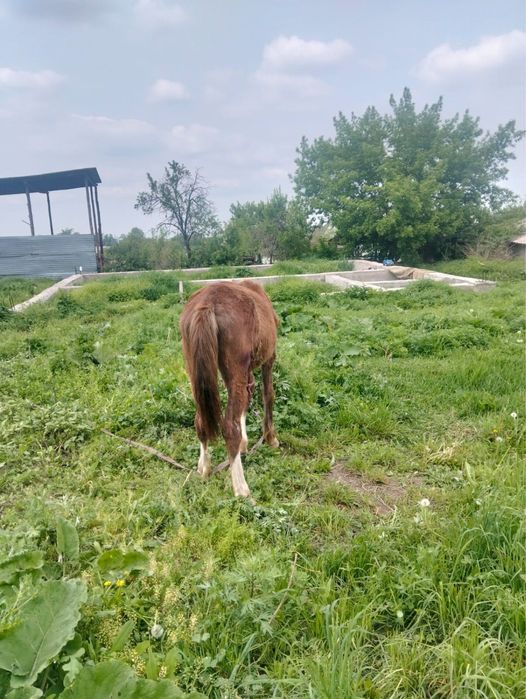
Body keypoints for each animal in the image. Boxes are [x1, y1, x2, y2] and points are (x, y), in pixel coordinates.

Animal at [180, 280, 279, 498]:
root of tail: (207, 303)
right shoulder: (269, 359)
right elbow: (268, 395)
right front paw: (271, 437)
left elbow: (244, 402)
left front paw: (244, 443)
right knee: (229, 428)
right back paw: (241, 488)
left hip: (194, 373)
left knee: (200, 421)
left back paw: (204, 468)